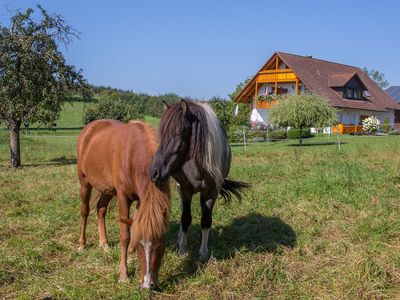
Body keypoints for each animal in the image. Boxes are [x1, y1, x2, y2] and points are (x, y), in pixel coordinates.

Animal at [77, 119, 170, 288]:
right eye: (140, 247)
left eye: (160, 245)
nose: (147, 285)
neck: (134, 156)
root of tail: (89, 128)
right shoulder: (122, 196)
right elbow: (125, 235)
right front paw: (123, 274)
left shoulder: (140, 199)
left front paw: (130, 255)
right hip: (84, 183)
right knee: (85, 211)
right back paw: (82, 244)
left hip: (107, 190)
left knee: (100, 209)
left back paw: (104, 244)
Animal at [150, 101, 248, 260]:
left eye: (178, 133)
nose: (153, 172)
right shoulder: (185, 190)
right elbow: (185, 219)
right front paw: (182, 250)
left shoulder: (211, 192)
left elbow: (206, 221)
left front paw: (203, 253)